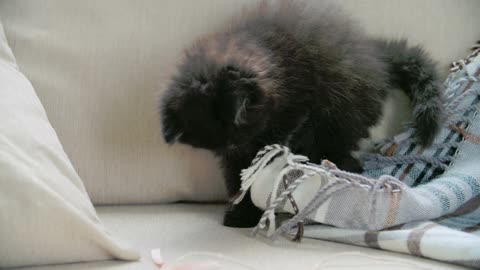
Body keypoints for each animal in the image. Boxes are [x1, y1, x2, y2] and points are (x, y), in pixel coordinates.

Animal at [159, 0, 444, 228]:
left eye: (242, 128)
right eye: (218, 141)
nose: (238, 145)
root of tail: (376, 55)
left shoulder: (299, 100)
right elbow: (238, 178)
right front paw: (241, 211)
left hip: (343, 112)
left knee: (340, 145)